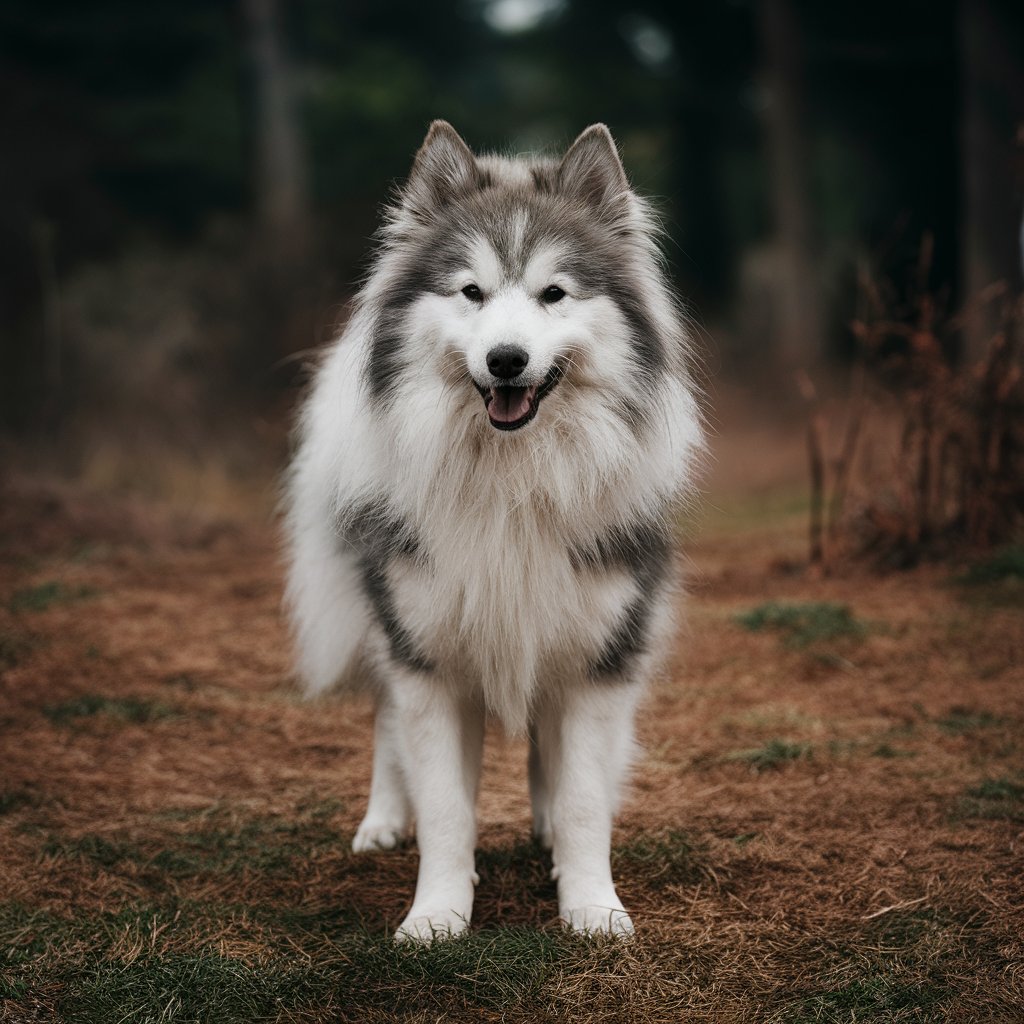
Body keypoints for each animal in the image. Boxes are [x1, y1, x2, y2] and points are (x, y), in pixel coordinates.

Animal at [286, 119, 704, 942]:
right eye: (471, 292)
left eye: (553, 293)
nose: (506, 360)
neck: (514, 478)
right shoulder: (426, 659)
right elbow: (446, 806)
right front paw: (437, 916)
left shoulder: (599, 654)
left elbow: (583, 799)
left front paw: (591, 906)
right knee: (384, 722)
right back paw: (383, 821)